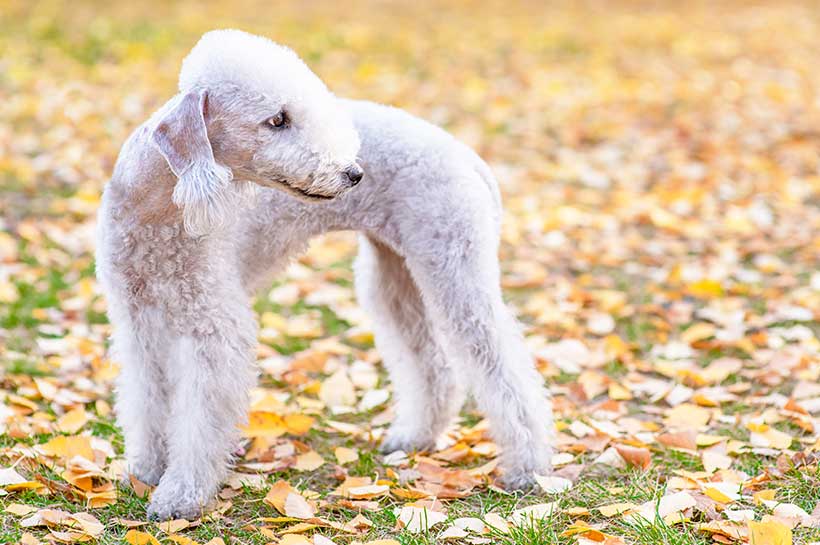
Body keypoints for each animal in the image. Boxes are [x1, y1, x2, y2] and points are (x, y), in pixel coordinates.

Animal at [97, 28, 556, 520]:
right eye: (278, 119)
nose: (353, 173)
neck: (159, 210)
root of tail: (466, 155)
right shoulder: (138, 319)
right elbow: (146, 396)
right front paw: (146, 468)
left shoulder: (213, 325)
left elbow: (200, 415)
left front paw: (180, 494)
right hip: (394, 276)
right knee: (432, 364)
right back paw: (413, 437)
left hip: (454, 264)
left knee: (503, 366)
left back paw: (529, 468)